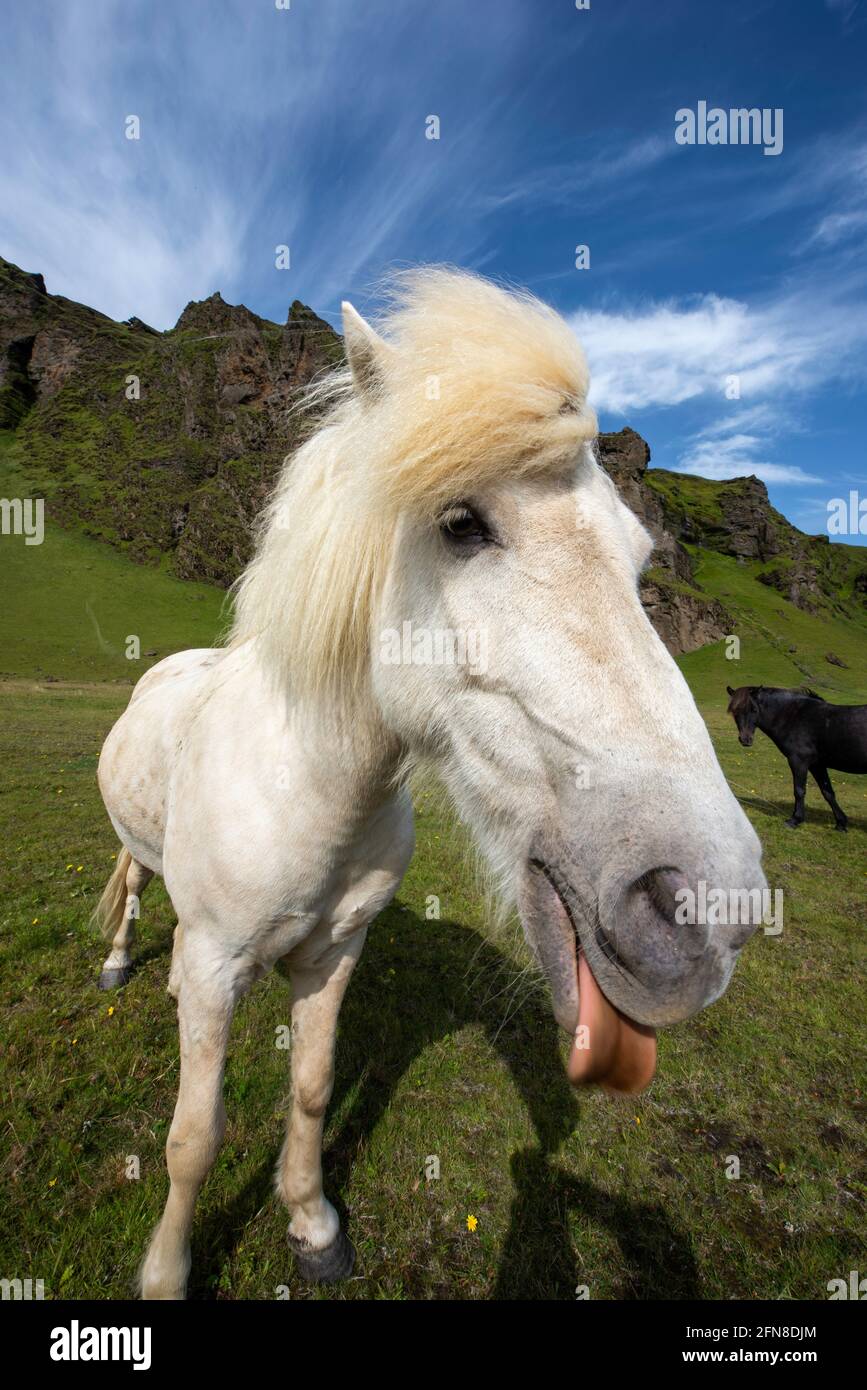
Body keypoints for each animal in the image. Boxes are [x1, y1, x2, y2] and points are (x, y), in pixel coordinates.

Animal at [94, 268, 766, 1299]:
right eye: (460, 523)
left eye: (638, 559)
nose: (701, 906)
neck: (313, 795)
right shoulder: (215, 965)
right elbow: (192, 1139)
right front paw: (166, 1272)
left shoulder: (334, 956)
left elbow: (311, 1090)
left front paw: (312, 1224)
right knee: (132, 885)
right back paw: (123, 960)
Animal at [727, 684, 867, 831]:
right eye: (734, 711)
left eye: (754, 709)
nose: (745, 739)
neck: (794, 716)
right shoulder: (817, 765)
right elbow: (827, 792)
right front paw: (841, 823)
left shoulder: (799, 761)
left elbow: (799, 790)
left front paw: (795, 820)